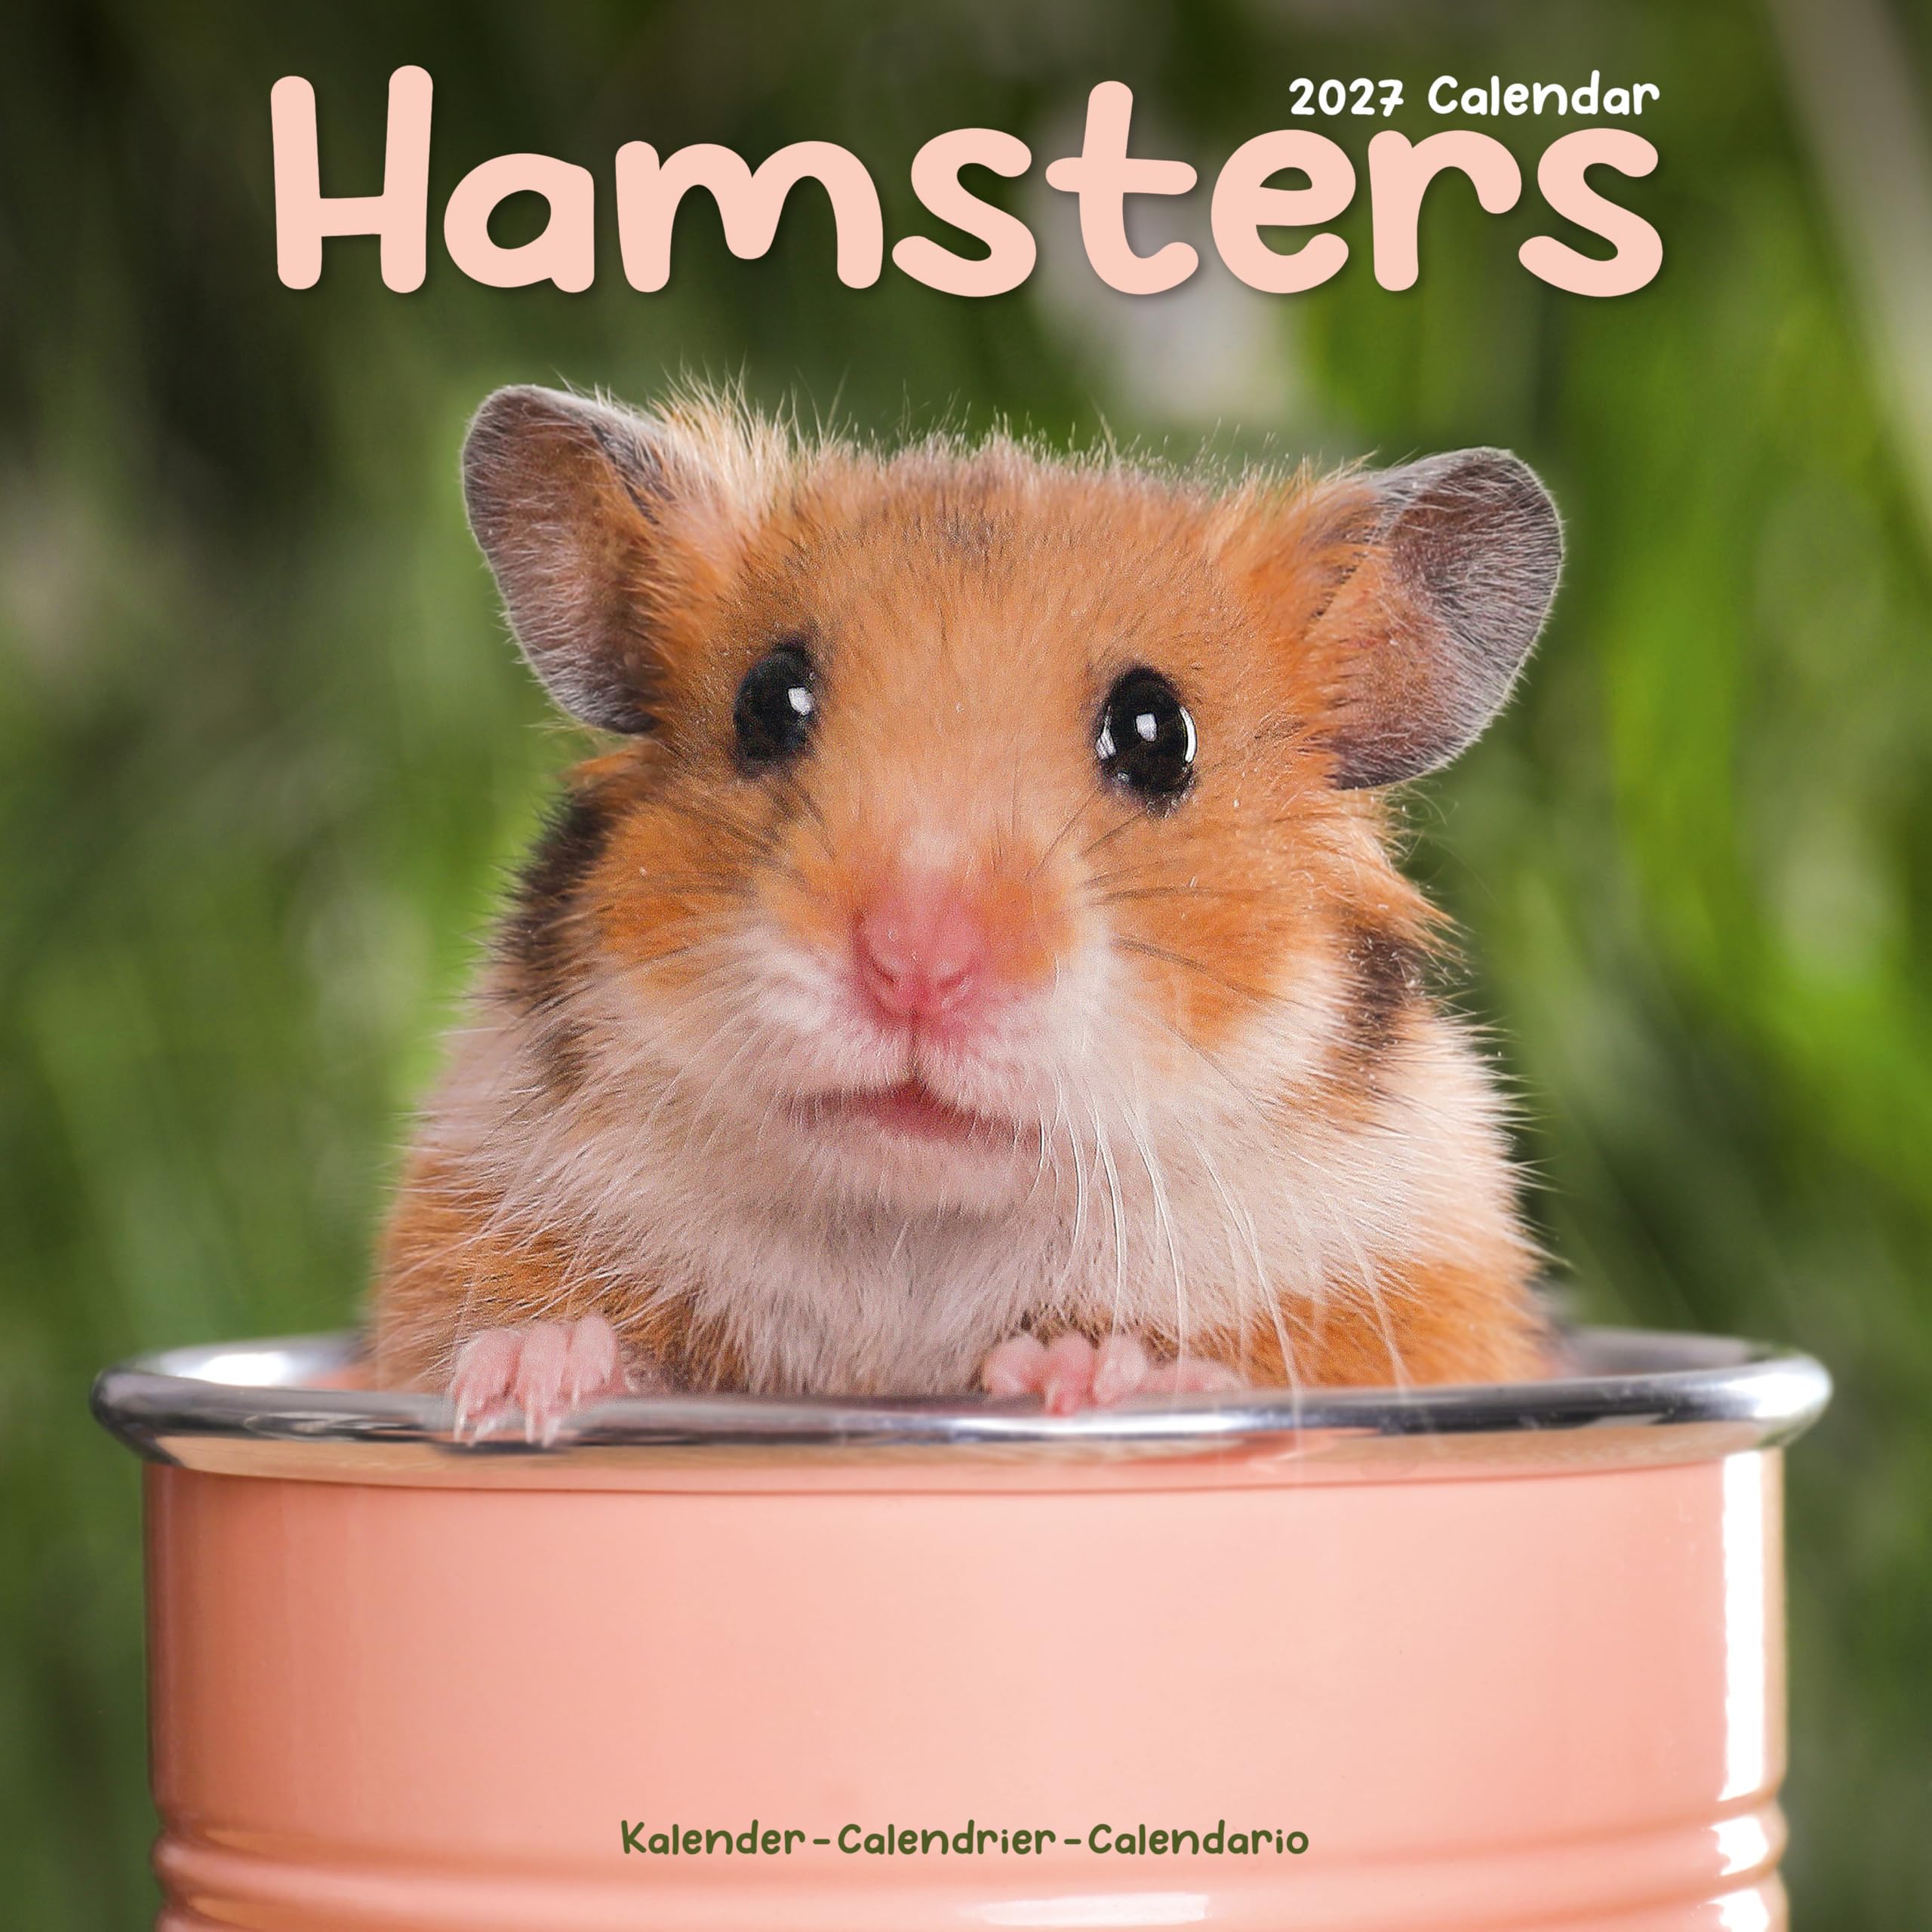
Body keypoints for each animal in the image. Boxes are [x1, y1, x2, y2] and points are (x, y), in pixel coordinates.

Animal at [371, 384, 1563, 1436]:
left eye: (1156, 734)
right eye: (767, 702)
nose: (914, 967)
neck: (917, 1231)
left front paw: (1094, 1374)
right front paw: (519, 1380)